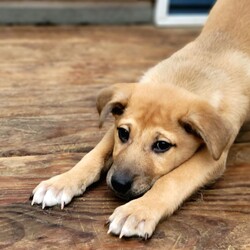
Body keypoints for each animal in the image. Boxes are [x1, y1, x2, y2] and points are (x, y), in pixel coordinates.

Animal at [31, 0, 250, 239]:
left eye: (162, 145)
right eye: (123, 134)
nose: (118, 184)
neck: (188, 76)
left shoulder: (214, 156)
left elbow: (173, 179)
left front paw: (137, 211)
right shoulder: (115, 127)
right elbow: (92, 156)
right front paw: (61, 183)